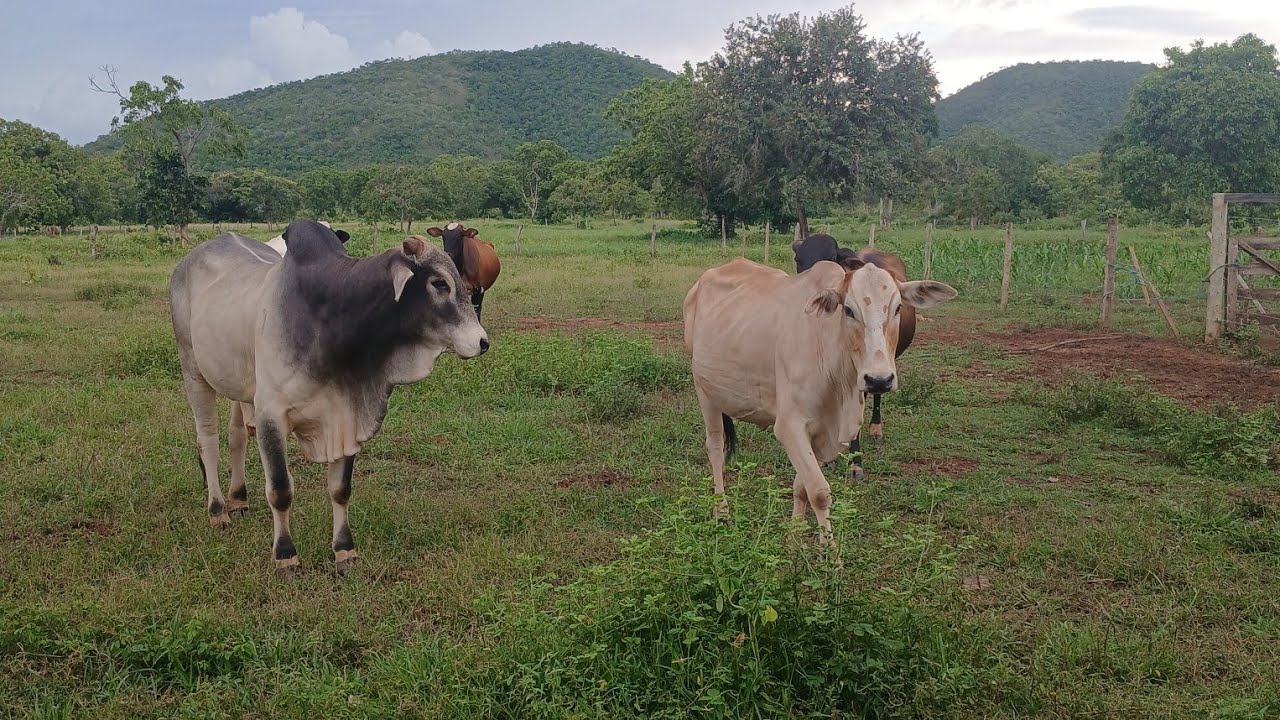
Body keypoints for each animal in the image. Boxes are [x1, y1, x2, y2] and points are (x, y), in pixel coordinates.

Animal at [169, 219, 489, 577]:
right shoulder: (271, 413)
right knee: (208, 441)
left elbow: (340, 489)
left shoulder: (345, 415)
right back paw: (218, 510)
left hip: (240, 385)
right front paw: (286, 556)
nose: (482, 342)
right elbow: (280, 489)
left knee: (237, 435)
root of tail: (189, 260)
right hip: (193, 370)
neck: (333, 319)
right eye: (439, 283)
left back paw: (238, 499)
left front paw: (344, 551)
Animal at [683, 257, 956, 536]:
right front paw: (828, 547)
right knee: (715, 448)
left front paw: (795, 536)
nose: (879, 379)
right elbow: (819, 492)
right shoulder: (790, 426)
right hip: (705, 391)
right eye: (848, 310)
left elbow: (802, 488)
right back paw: (722, 511)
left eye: (898, 307)